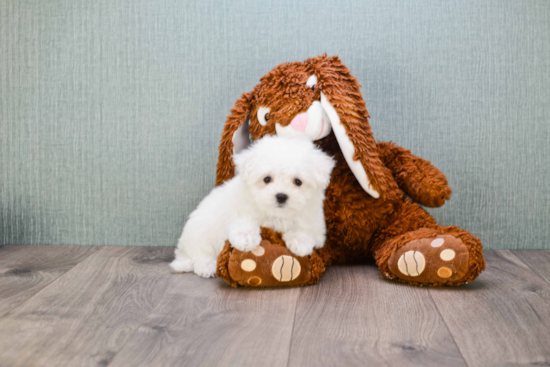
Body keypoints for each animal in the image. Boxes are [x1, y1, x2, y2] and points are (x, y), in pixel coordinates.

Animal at [171, 137, 336, 278]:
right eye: (267, 179)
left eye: (298, 182)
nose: (281, 196)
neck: (276, 215)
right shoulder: (240, 209)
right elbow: (245, 221)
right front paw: (246, 238)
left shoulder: (314, 221)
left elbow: (304, 228)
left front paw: (300, 241)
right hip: (200, 231)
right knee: (199, 253)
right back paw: (207, 266)